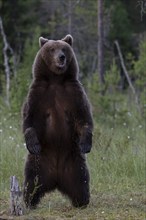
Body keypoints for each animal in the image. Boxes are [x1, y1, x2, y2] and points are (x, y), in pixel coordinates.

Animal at [22, 34, 93, 208]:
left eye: (64, 49)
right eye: (52, 49)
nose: (61, 57)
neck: (56, 79)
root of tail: (56, 180)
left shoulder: (74, 93)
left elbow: (83, 117)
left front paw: (86, 143)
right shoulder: (38, 94)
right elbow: (29, 120)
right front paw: (33, 143)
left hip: (74, 163)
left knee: (81, 182)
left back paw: (82, 201)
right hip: (38, 163)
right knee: (31, 182)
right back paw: (28, 201)